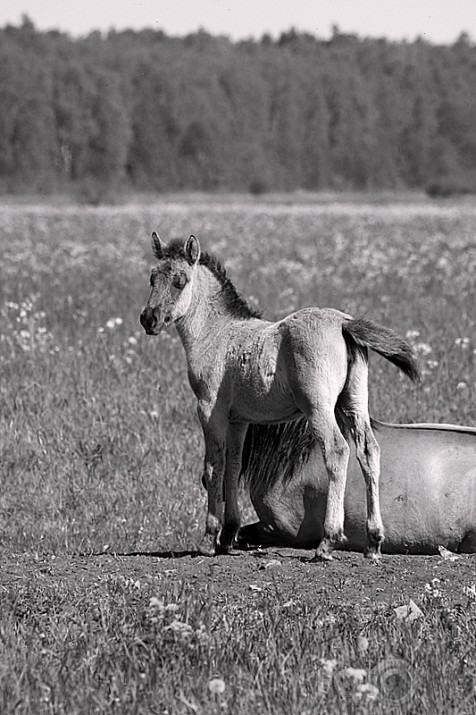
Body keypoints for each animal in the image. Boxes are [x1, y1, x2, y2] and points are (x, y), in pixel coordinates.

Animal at [139, 234, 418, 560]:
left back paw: (328, 540)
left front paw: (210, 538)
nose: (149, 319)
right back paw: (373, 542)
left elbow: (213, 467)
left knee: (338, 451)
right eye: (152, 278)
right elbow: (234, 467)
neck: (216, 333)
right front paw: (228, 536)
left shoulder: (209, 411)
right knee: (369, 451)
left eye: (179, 281)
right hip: (353, 402)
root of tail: (343, 323)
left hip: (318, 407)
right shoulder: (239, 420)